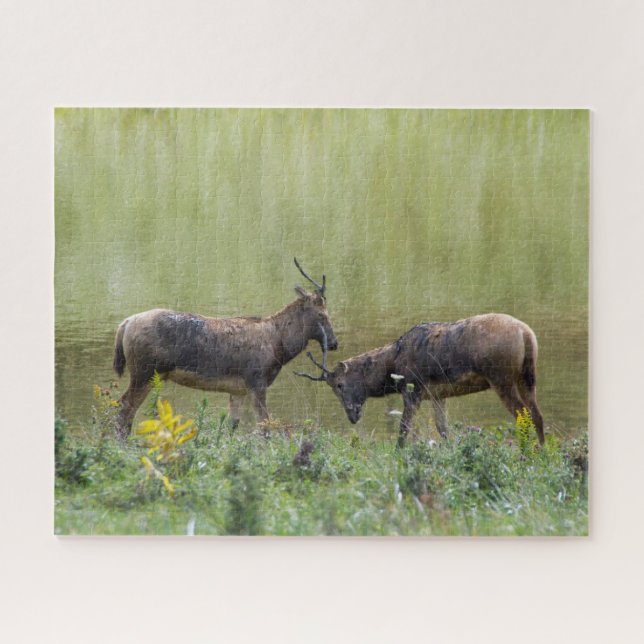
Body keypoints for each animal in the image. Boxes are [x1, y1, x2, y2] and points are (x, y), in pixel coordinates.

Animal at [112, 258, 338, 437]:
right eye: (322, 315)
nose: (334, 343)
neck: (279, 347)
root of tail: (124, 324)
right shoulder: (257, 381)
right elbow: (264, 427)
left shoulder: (238, 390)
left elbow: (233, 426)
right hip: (144, 372)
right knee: (124, 408)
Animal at [295, 313, 545, 446]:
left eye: (339, 384)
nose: (352, 415)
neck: (391, 366)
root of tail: (526, 334)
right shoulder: (437, 395)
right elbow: (442, 428)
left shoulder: (412, 390)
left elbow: (404, 430)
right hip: (527, 378)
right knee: (537, 415)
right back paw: (540, 450)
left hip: (501, 378)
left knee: (522, 415)